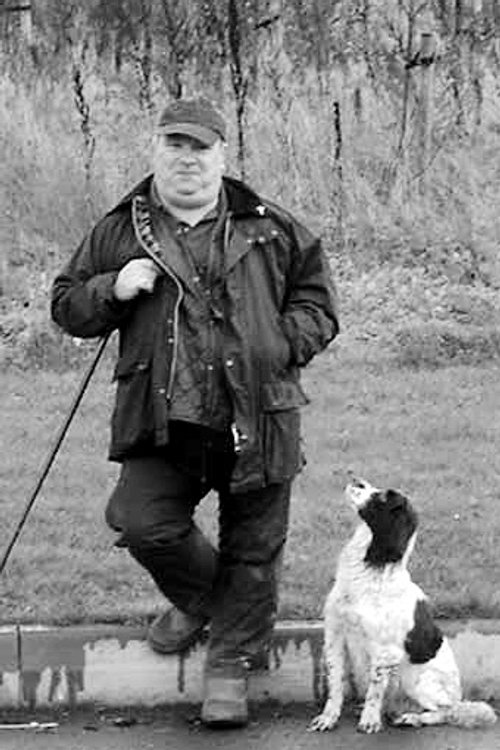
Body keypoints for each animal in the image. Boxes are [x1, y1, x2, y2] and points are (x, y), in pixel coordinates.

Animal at [308, 482, 496, 736]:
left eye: (383, 497)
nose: (357, 481)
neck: (372, 570)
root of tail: (458, 697)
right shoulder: (334, 636)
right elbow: (335, 683)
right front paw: (328, 717)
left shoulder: (384, 651)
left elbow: (375, 690)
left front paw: (369, 720)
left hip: (415, 679)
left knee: (445, 712)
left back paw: (411, 718)